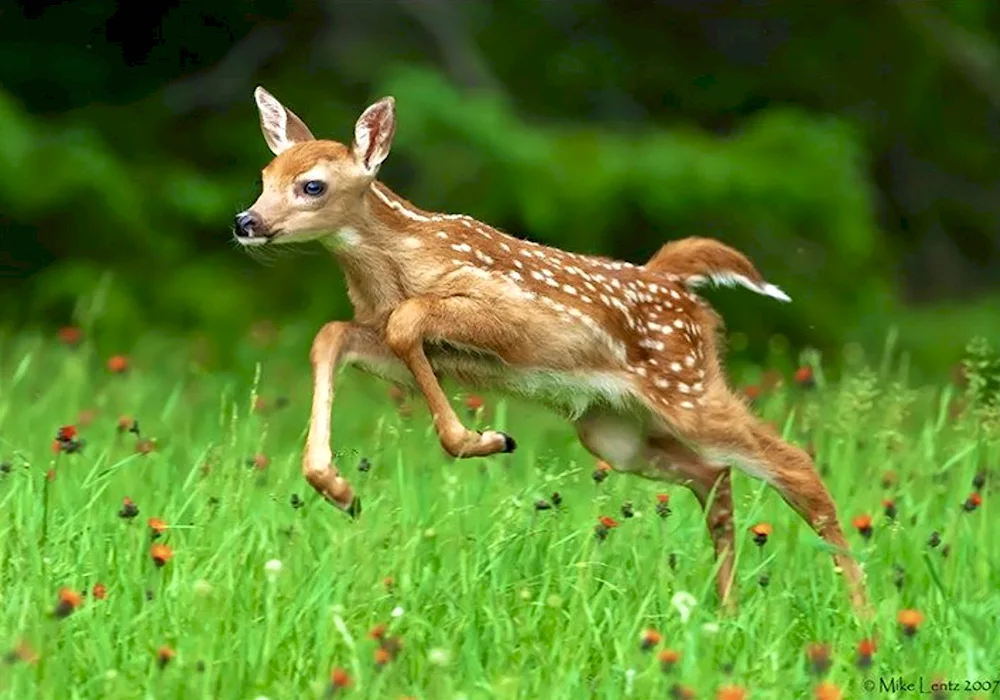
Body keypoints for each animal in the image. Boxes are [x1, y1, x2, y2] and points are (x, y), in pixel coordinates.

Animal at [232, 86, 868, 612]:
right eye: (264, 174)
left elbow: (408, 322)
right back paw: (729, 608)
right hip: (615, 430)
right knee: (713, 475)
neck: (397, 264)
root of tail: (677, 284)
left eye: (312, 184)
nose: (246, 221)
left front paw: (481, 439)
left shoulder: (501, 312)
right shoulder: (398, 336)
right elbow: (332, 334)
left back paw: (862, 612)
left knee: (793, 465)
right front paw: (338, 489)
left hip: (686, 384)